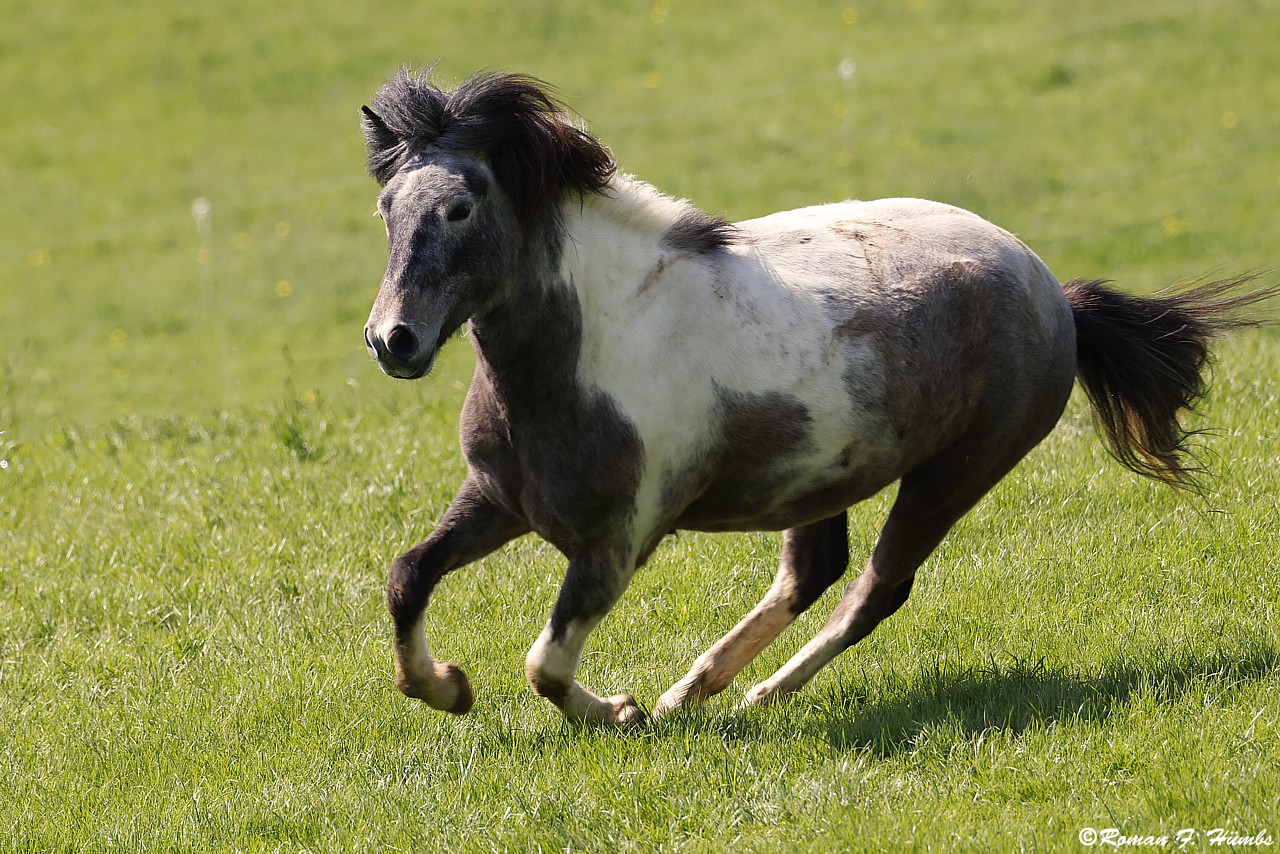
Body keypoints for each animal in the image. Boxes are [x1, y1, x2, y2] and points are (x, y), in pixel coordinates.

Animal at [355, 68, 1274, 727]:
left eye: (461, 207)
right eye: (387, 209)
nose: (392, 341)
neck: (591, 351)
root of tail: (1055, 293)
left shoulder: (619, 541)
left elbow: (544, 665)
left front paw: (617, 711)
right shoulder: (497, 499)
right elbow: (406, 576)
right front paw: (448, 687)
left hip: (957, 473)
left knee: (877, 589)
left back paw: (755, 696)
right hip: (820, 478)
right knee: (813, 572)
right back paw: (693, 693)